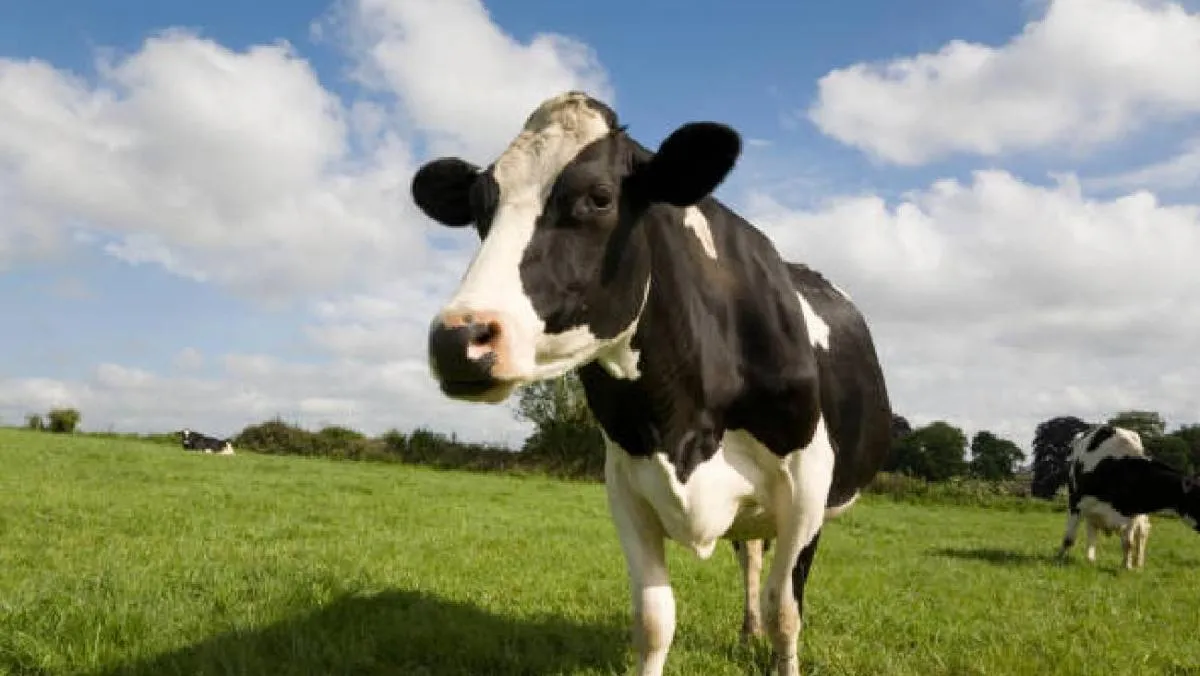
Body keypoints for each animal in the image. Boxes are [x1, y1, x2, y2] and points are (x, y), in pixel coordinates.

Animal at [411, 91, 893, 676]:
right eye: (482, 208)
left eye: (599, 198)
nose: (457, 339)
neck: (681, 423)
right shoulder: (625, 485)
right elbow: (654, 618)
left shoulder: (806, 485)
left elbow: (786, 611)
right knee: (751, 556)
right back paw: (746, 631)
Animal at [1058, 424, 1200, 570]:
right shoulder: (1076, 503)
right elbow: (1069, 539)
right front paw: (1059, 559)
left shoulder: (1132, 513)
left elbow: (1129, 543)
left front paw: (1127, 566)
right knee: (1092, 530)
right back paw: (1090, 558)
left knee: (1143, 531)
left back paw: (1138, 563)